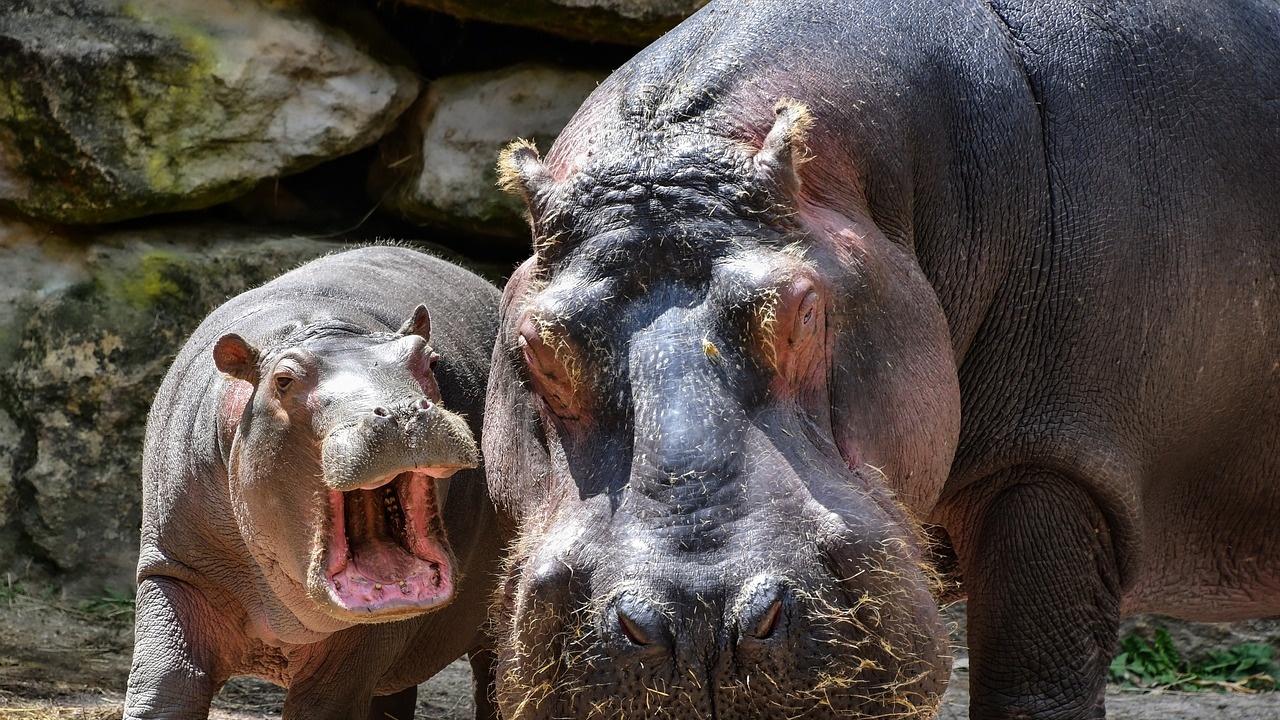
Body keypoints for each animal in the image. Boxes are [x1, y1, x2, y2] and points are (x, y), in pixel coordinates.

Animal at [124, 245, 501, 717]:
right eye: (283, 379)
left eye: (429, 360)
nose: (402, 413)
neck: (317, 329)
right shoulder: (175, 573)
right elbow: (164, 687)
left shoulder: (365, 639)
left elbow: (326, 703)